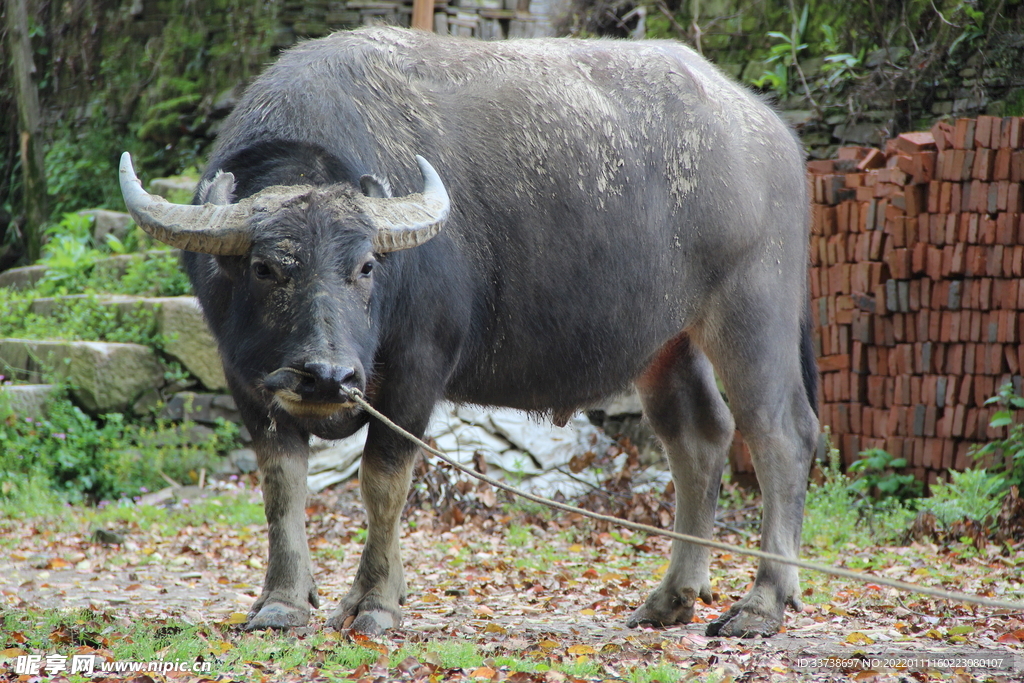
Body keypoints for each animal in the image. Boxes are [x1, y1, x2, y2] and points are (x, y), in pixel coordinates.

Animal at [119, 25, 819, 634]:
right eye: (265, 268)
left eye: (365, 266)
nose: (326, 376)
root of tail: (770, 135)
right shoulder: (247, 379)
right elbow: (281, 484)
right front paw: (284, 601)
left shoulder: (417, 368)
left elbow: (382, 480)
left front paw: (376, 602)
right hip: (665, 343)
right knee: (700, 437)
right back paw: (672, 596)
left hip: (754, 311)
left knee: (781, 434)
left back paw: (762, 604)